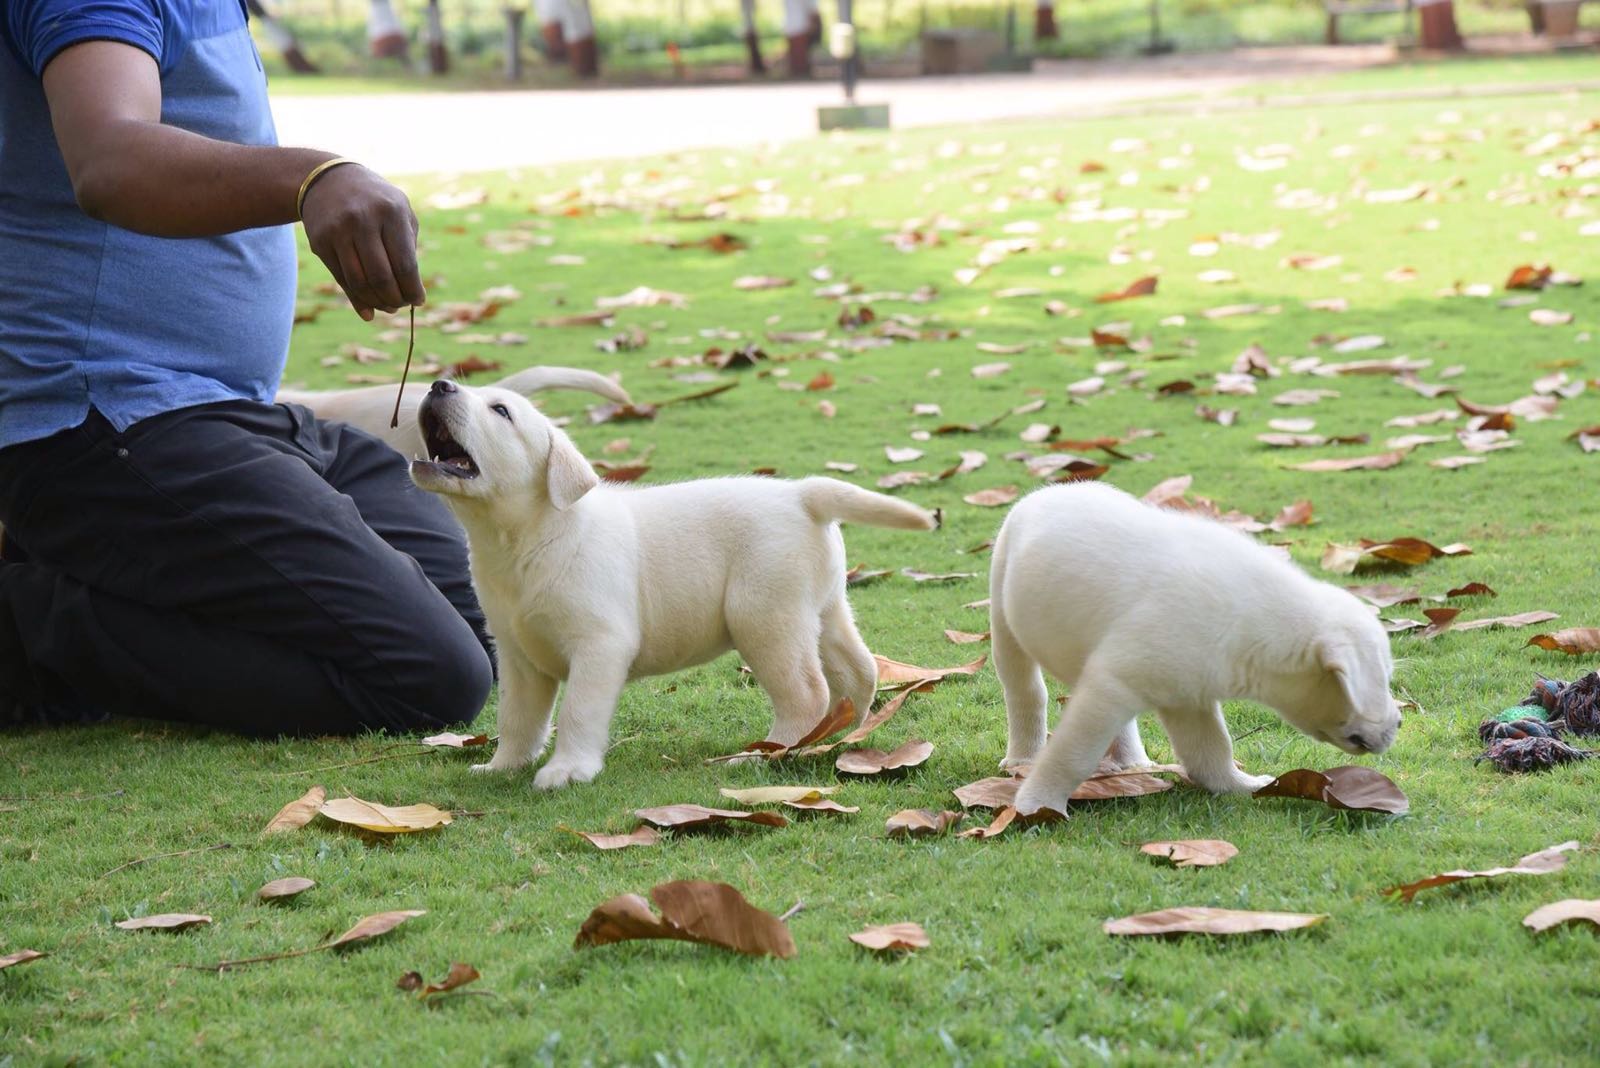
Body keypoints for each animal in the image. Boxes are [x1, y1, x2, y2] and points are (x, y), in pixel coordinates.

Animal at [409, 375, 934, 783]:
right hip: (822, 610)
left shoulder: (600, 645)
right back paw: (838, 734)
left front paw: (567, 770)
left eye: (501, 410)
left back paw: (761, 755)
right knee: (858, 672)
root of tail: (802, 494)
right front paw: (504, 766)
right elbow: (518, 718)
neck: (525, 539)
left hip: (765, 617)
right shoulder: (518, 657)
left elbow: (578, 710)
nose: (438, 385)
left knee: (807, 693)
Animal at [979, 482, 1408, 818]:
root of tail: (1048, 491)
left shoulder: (1187, 699)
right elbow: (1073, 756)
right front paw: (1037, 807)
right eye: (1382, 679)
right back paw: (1022, 761)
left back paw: (1133, 763)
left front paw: (1244, 786)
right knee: (1026, 693)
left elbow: (1212, 752)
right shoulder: (1113, 686)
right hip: (1004, 619)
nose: (1400, 723)